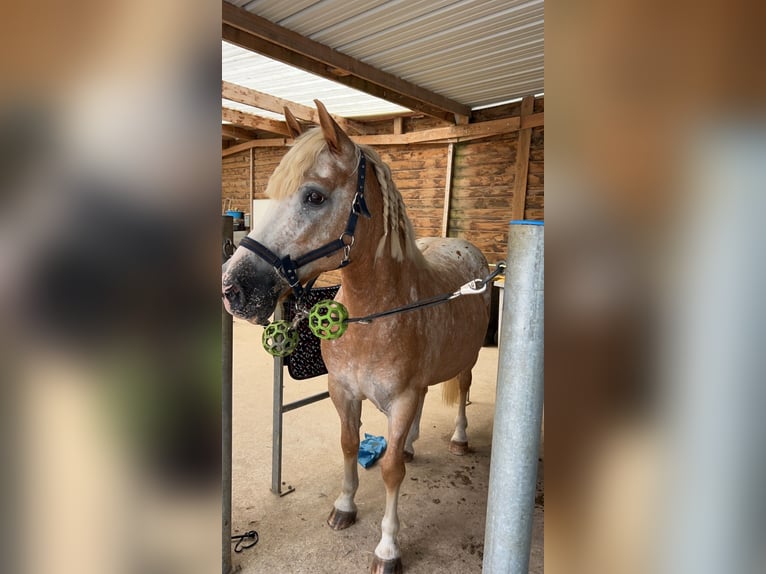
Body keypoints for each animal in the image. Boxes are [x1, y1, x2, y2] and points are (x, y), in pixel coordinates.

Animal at [222, 101, 490, 573]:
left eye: (314, 196)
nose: (232, 287)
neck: (375, 318)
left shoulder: (400, 400)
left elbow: (390, 473)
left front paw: (387, 548)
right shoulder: (343, 391)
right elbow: (348, 446)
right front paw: (345, 507)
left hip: (468, 359)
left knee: (462, 389)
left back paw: (459, 439)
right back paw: (411, 445)